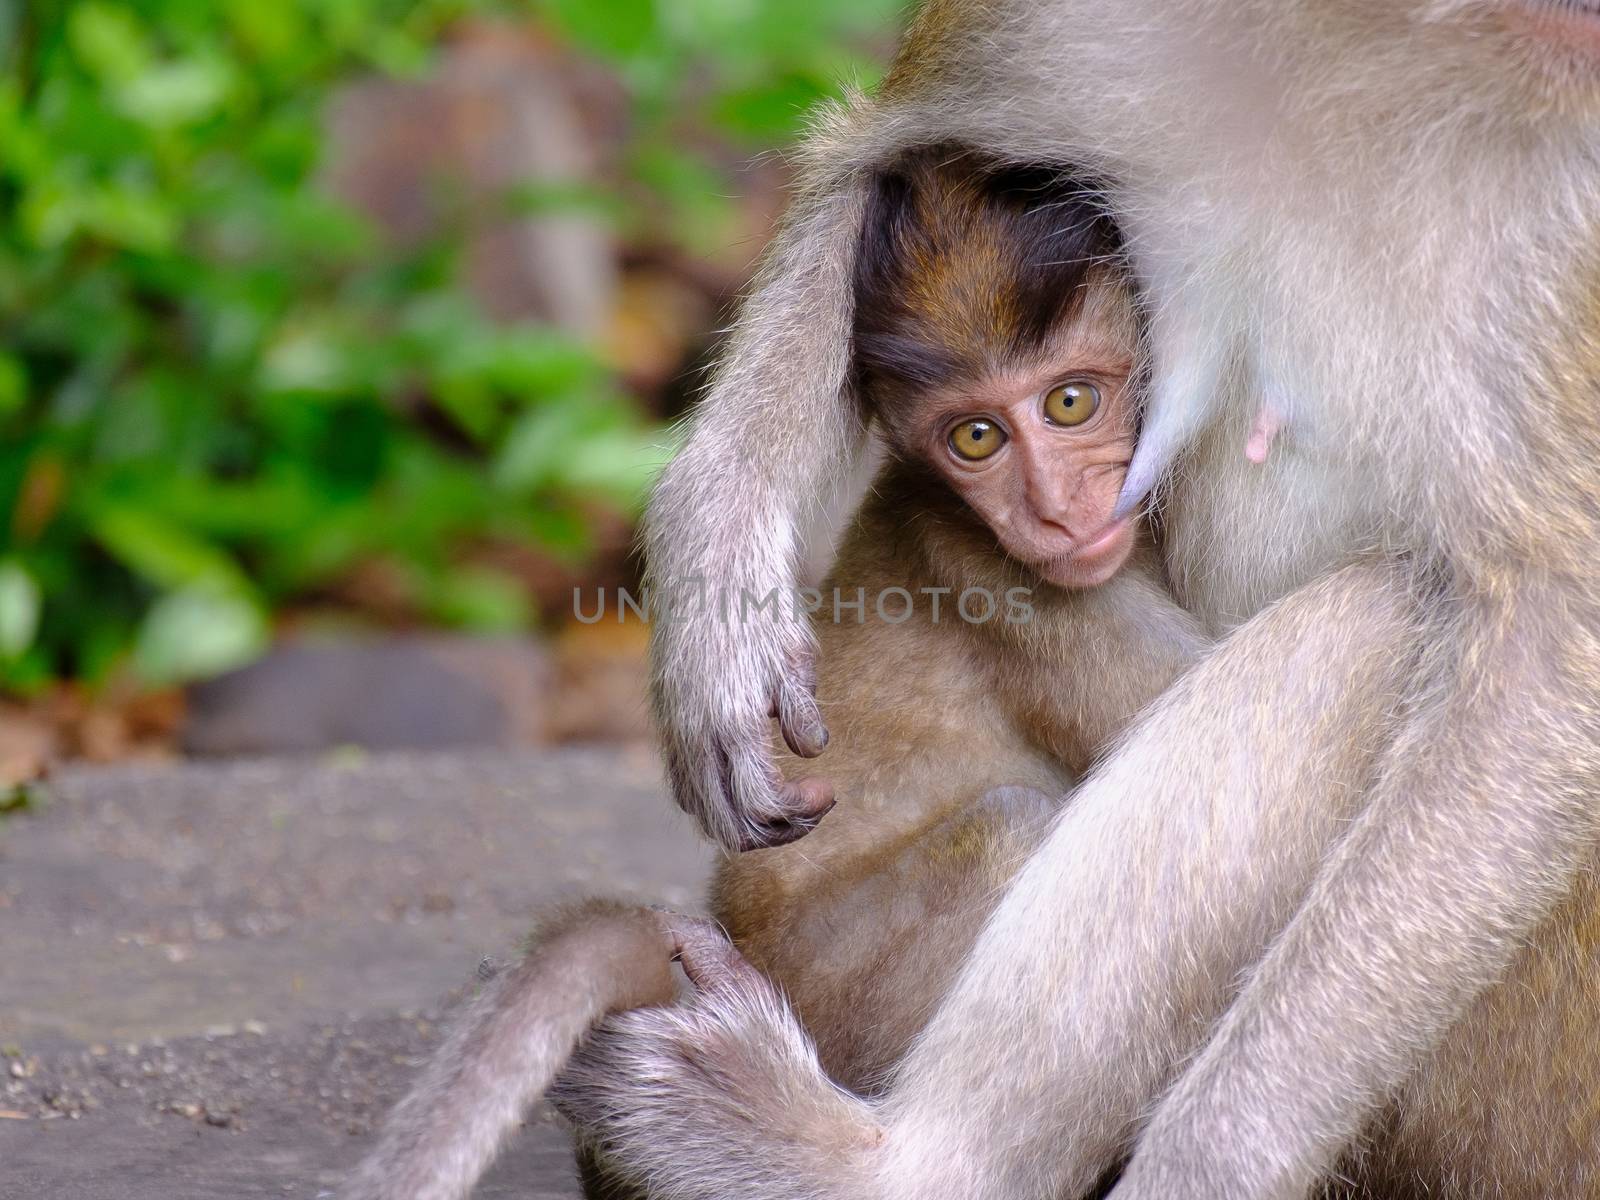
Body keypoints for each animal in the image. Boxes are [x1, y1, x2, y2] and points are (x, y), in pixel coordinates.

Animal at [344, 150, 1203, 1200]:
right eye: (976, 438)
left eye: (1070, 402)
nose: (1051, 509)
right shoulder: (1014, 586)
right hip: (831, 993)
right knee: (1013, 825)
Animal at [566, 2, 1600, 1200]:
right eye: (979, 435)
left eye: (1072, 404)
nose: (1058, 509)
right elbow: (890, 152)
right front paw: (714, 577)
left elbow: (1548, 642)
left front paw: (1212, 1161)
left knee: (1378, 626)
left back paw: (885, 1164)